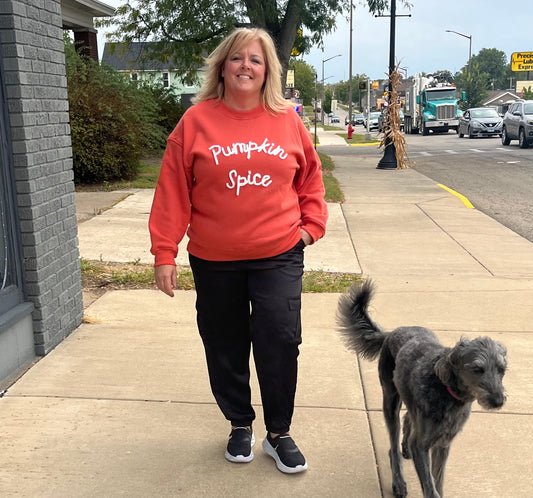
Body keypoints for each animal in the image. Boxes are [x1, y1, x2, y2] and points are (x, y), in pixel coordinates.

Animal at [336, 280, 508, 498]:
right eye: (477, 369)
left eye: (502, 370)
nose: (498, 401)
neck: (447, 392)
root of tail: (391, 333)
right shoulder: (422, 446)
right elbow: (430, 486)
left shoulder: (443, 444)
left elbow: (438, 480)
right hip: (390, 401)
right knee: (393, 447)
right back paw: (398, 481)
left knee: (408, 418)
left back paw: (404, 446)